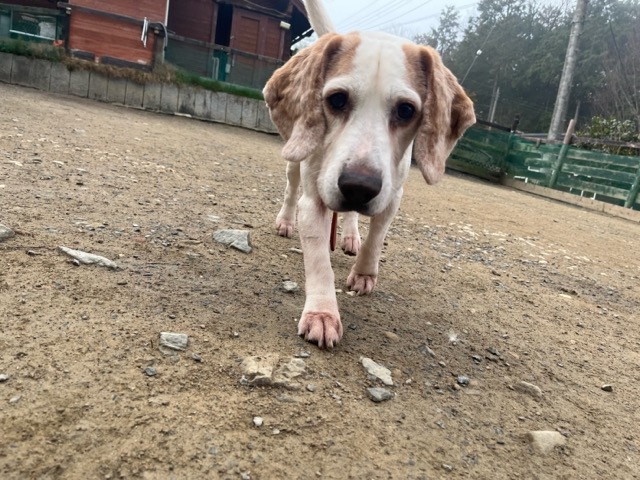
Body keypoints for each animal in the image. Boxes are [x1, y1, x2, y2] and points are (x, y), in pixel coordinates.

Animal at [263, 0, 475, 348]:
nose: (358, 187)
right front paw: (322, 314)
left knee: (352, 216)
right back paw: (285, 220)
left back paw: (351, 234)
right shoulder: (314, 201)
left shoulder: (391, 195)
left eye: (406, 110)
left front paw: (364, 273)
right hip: (294, 159)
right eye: (336, 99)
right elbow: (319, 261)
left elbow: (376, 238)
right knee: (290, 190)